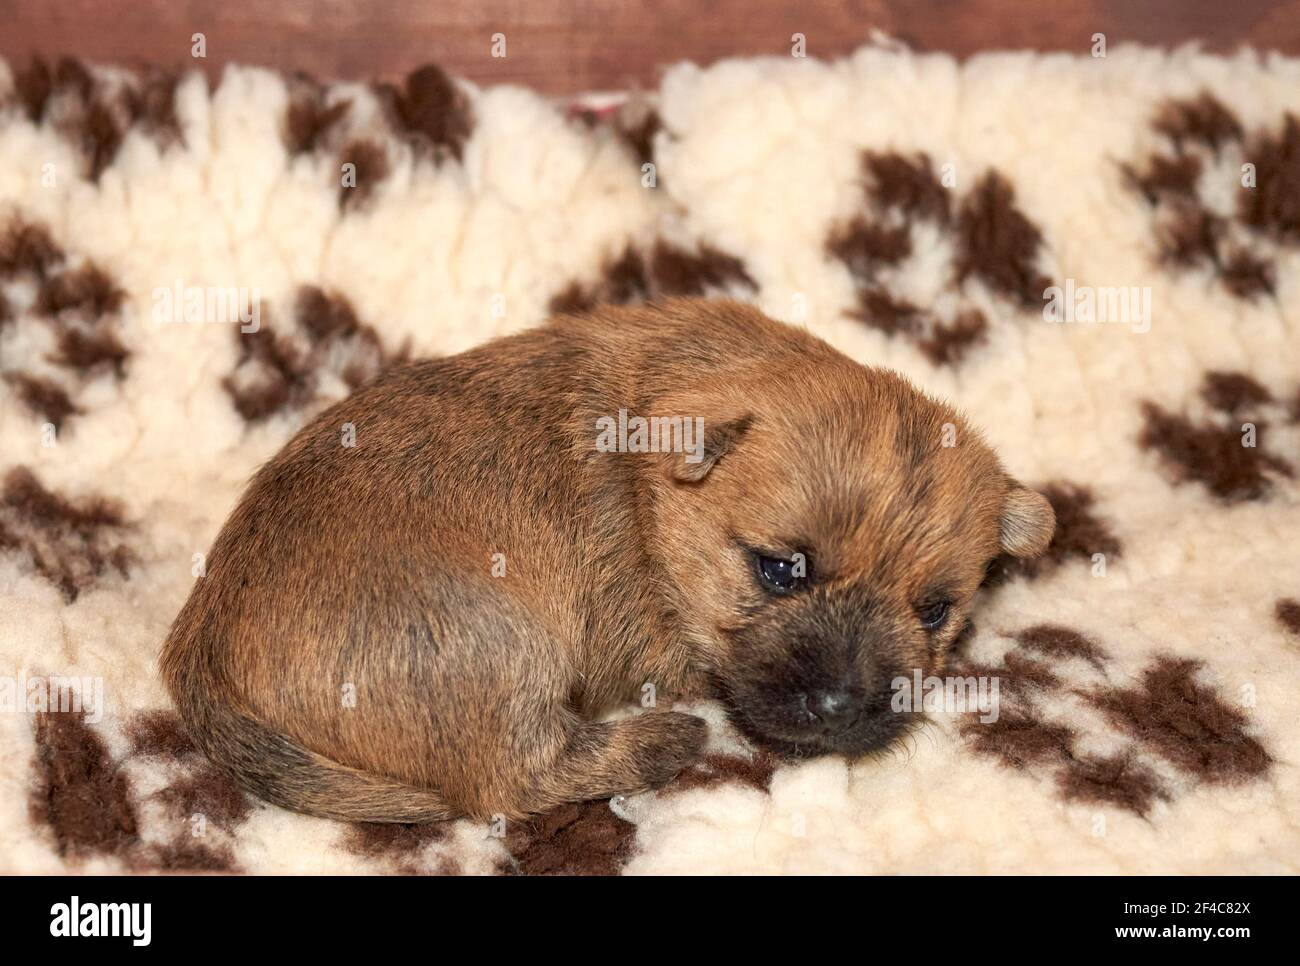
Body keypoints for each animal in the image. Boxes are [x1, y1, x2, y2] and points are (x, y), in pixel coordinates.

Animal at [162, 300, 1055, 821]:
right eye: (780, 570)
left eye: (934, 610)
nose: (843, 708)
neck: (649, 501)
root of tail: (203, 645)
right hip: (502, 645)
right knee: (513, 777)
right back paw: (664, 743)